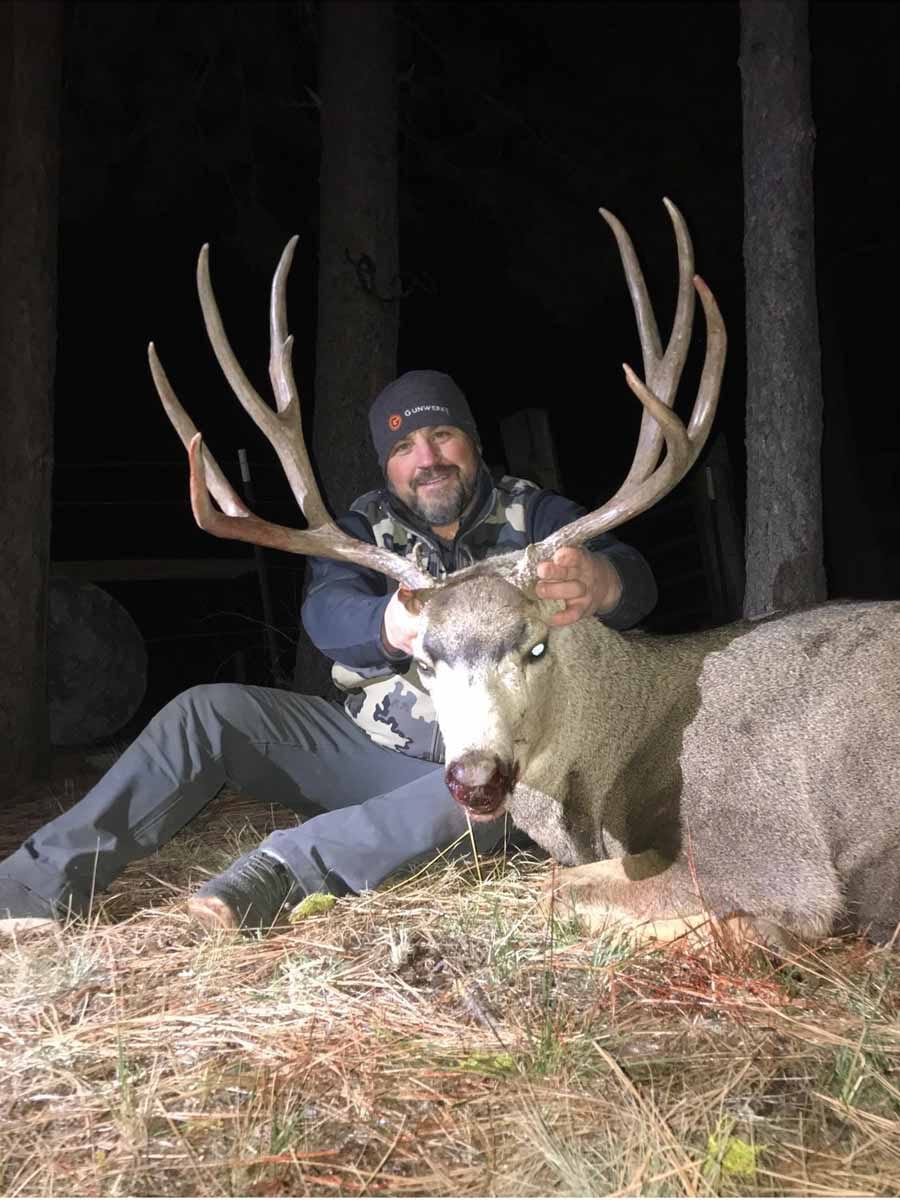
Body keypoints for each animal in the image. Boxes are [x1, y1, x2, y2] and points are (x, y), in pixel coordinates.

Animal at [149, 200, 900, 952]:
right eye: (424, 661)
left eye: (535, 645)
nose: (475, 780)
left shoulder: (763, 846)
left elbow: (562, 892)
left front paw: (759, 932)